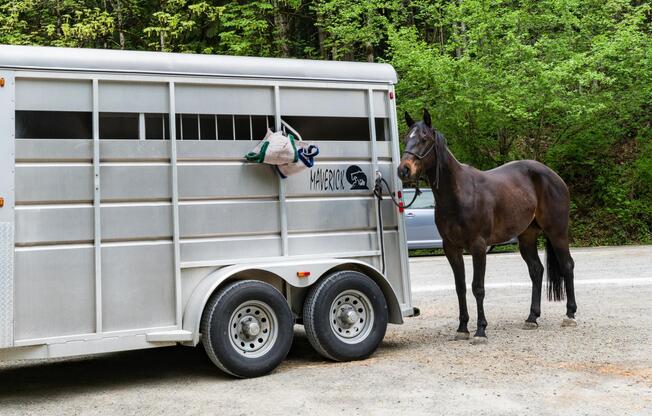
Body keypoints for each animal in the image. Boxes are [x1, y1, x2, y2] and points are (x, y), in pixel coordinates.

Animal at [397, 109, 577, 344]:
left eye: (424, 139)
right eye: (406, 138)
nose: (404, 170)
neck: (458, 194)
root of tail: (554, 176)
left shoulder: (478, 246)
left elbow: (478, 287)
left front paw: (480, 330)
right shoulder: (451, 248)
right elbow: (460, 287)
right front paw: (462, 328)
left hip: (557, 232)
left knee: (567, 266)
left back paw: (570, 315)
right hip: (527, 238)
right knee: (536, 270)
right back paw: (532, 317)